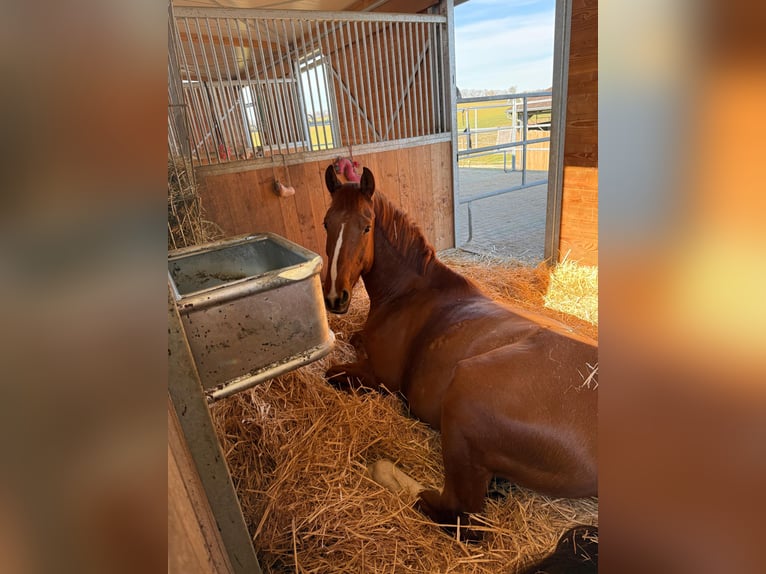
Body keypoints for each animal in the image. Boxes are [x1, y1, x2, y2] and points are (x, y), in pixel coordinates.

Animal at [321, 165, 598, 540]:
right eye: (327, 223)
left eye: (366, 226)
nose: (335, 297)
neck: (412, 292)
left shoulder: (378, 378)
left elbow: (331, 371)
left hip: (462, 404)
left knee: (456, 513)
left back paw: (385, 471)